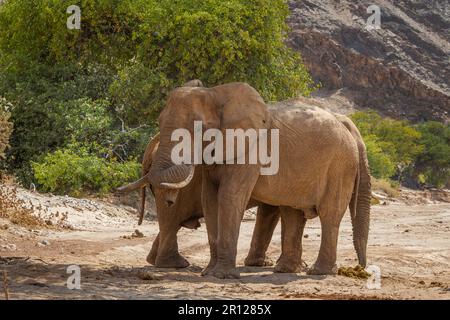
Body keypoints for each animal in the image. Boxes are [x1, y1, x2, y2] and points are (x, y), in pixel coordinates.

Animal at [146, 82, 370, 278]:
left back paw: (318, 272)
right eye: (159, 122)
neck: (215, 93)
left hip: (340, 166)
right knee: (294, 211)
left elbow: (229, 196)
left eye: (200, 128)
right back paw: (287, 270)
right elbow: (210, 200)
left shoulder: (251, 151)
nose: (170, 197)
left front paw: (221, 276)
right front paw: (209, 273)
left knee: (328, 213)